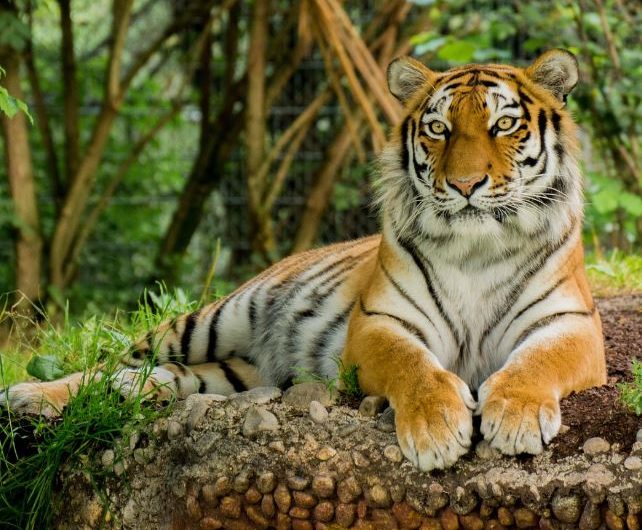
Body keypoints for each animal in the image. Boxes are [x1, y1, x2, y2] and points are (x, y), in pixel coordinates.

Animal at [1, 49, 606, 472]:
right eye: (439, 128)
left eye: (504, 125)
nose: (464, 184)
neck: (477, 248)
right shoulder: (378, 324)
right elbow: (414, 367)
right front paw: (437, 428)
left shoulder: (570, 325)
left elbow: (536, 363)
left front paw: (517, 417)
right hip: (211, 319)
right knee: (112, 361)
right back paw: (28, 395)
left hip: (232, 372)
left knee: (162, 376)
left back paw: (133, 390)